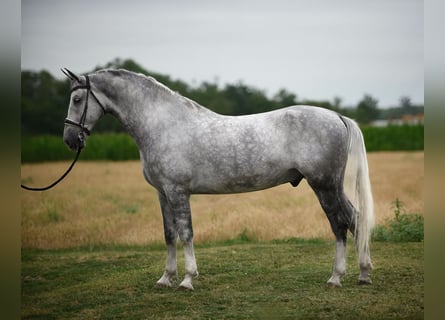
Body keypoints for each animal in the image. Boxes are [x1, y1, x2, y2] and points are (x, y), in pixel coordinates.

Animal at [61, 67, 374, 290]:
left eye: (77, 99)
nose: (69, 139)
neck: (163, 125)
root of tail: (337, 116)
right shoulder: (162, 193)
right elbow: (168, 234)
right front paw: (165, 278)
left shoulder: (178, 192)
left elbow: (186, 233)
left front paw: (187, 280)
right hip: (331, 186)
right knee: (355, 219)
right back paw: (363, 274)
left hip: (324, 186)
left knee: (340, 224)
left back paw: (337, 277)